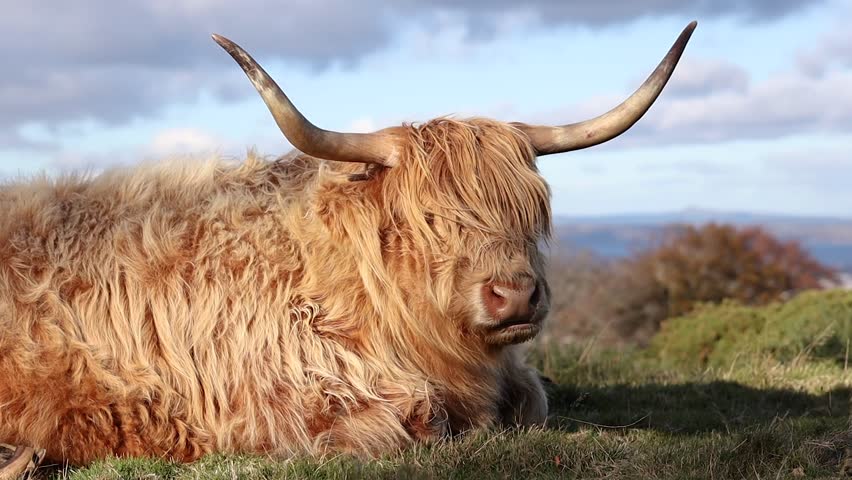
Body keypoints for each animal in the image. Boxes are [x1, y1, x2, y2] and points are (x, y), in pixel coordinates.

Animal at [0, 21, 696, 472]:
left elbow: (534, 401)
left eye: (531, 210)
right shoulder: (290, 400)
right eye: (428, 220)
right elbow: (420, 420)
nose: (516, 295)